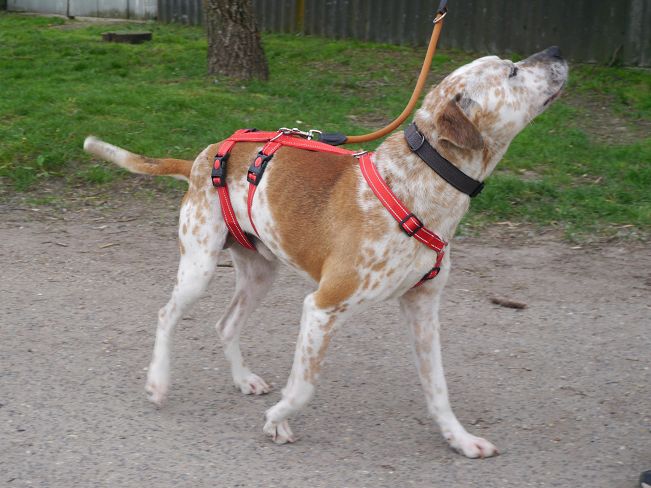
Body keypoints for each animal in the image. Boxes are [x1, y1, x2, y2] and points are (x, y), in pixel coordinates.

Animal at [84, 46, 567, 458]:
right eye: (511, 71)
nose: (558, 52)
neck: (414, 187)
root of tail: (203, 158)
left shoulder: (423, 310)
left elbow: (438, 390)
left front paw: (460, 439)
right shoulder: (322, 306)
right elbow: (303, 386)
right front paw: (278, 420)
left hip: (259, 275)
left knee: (226, 324)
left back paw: (242, 379)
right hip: (199, 266)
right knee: (167, 315)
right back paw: (158, 383)